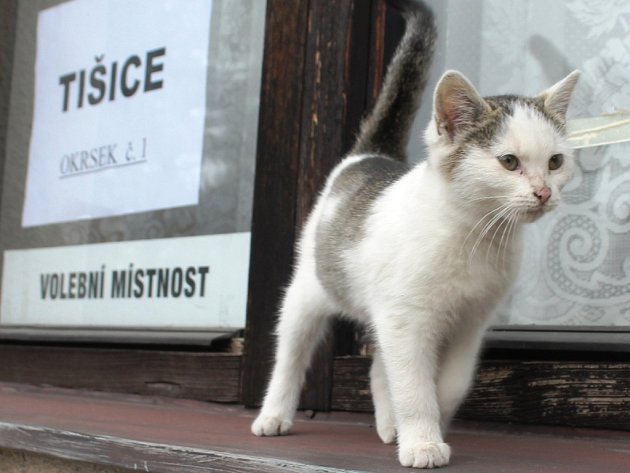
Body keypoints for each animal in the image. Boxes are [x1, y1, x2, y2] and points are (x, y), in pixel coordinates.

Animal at [252, 0, 584, 468]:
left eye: (555, 162)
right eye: (509, 162)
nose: (543, 192)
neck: (473, 235)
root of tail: (371, 156)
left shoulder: (470, 322)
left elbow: (449, 382)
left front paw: (432, 421)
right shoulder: (405, 318)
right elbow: (412, 384)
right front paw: (423, 442)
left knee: (378, 366)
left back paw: (389, 425)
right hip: (309, 289)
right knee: (290, 353)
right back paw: (274, 414)